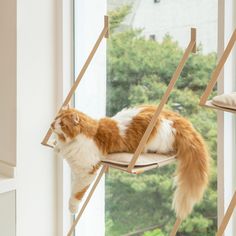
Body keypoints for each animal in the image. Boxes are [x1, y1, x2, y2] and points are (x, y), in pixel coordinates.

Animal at [50, 105, 209, 219]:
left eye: (62, 124)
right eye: (56, 118)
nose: (51, 125)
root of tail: (175, 117)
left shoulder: (86, 171)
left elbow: (76, 193)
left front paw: (72, 208)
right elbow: (58, 146)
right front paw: (56, 146)